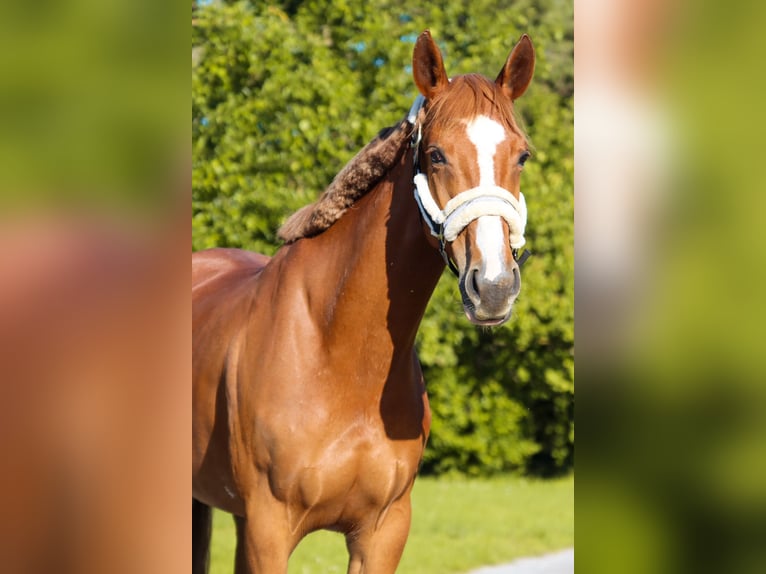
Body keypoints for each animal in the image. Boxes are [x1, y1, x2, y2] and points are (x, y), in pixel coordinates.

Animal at [195, 31, 536, 574]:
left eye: (521, 156)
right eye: (436, 155)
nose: (495, 286)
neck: (340, 353)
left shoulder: (383, 531)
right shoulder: (265, 531)